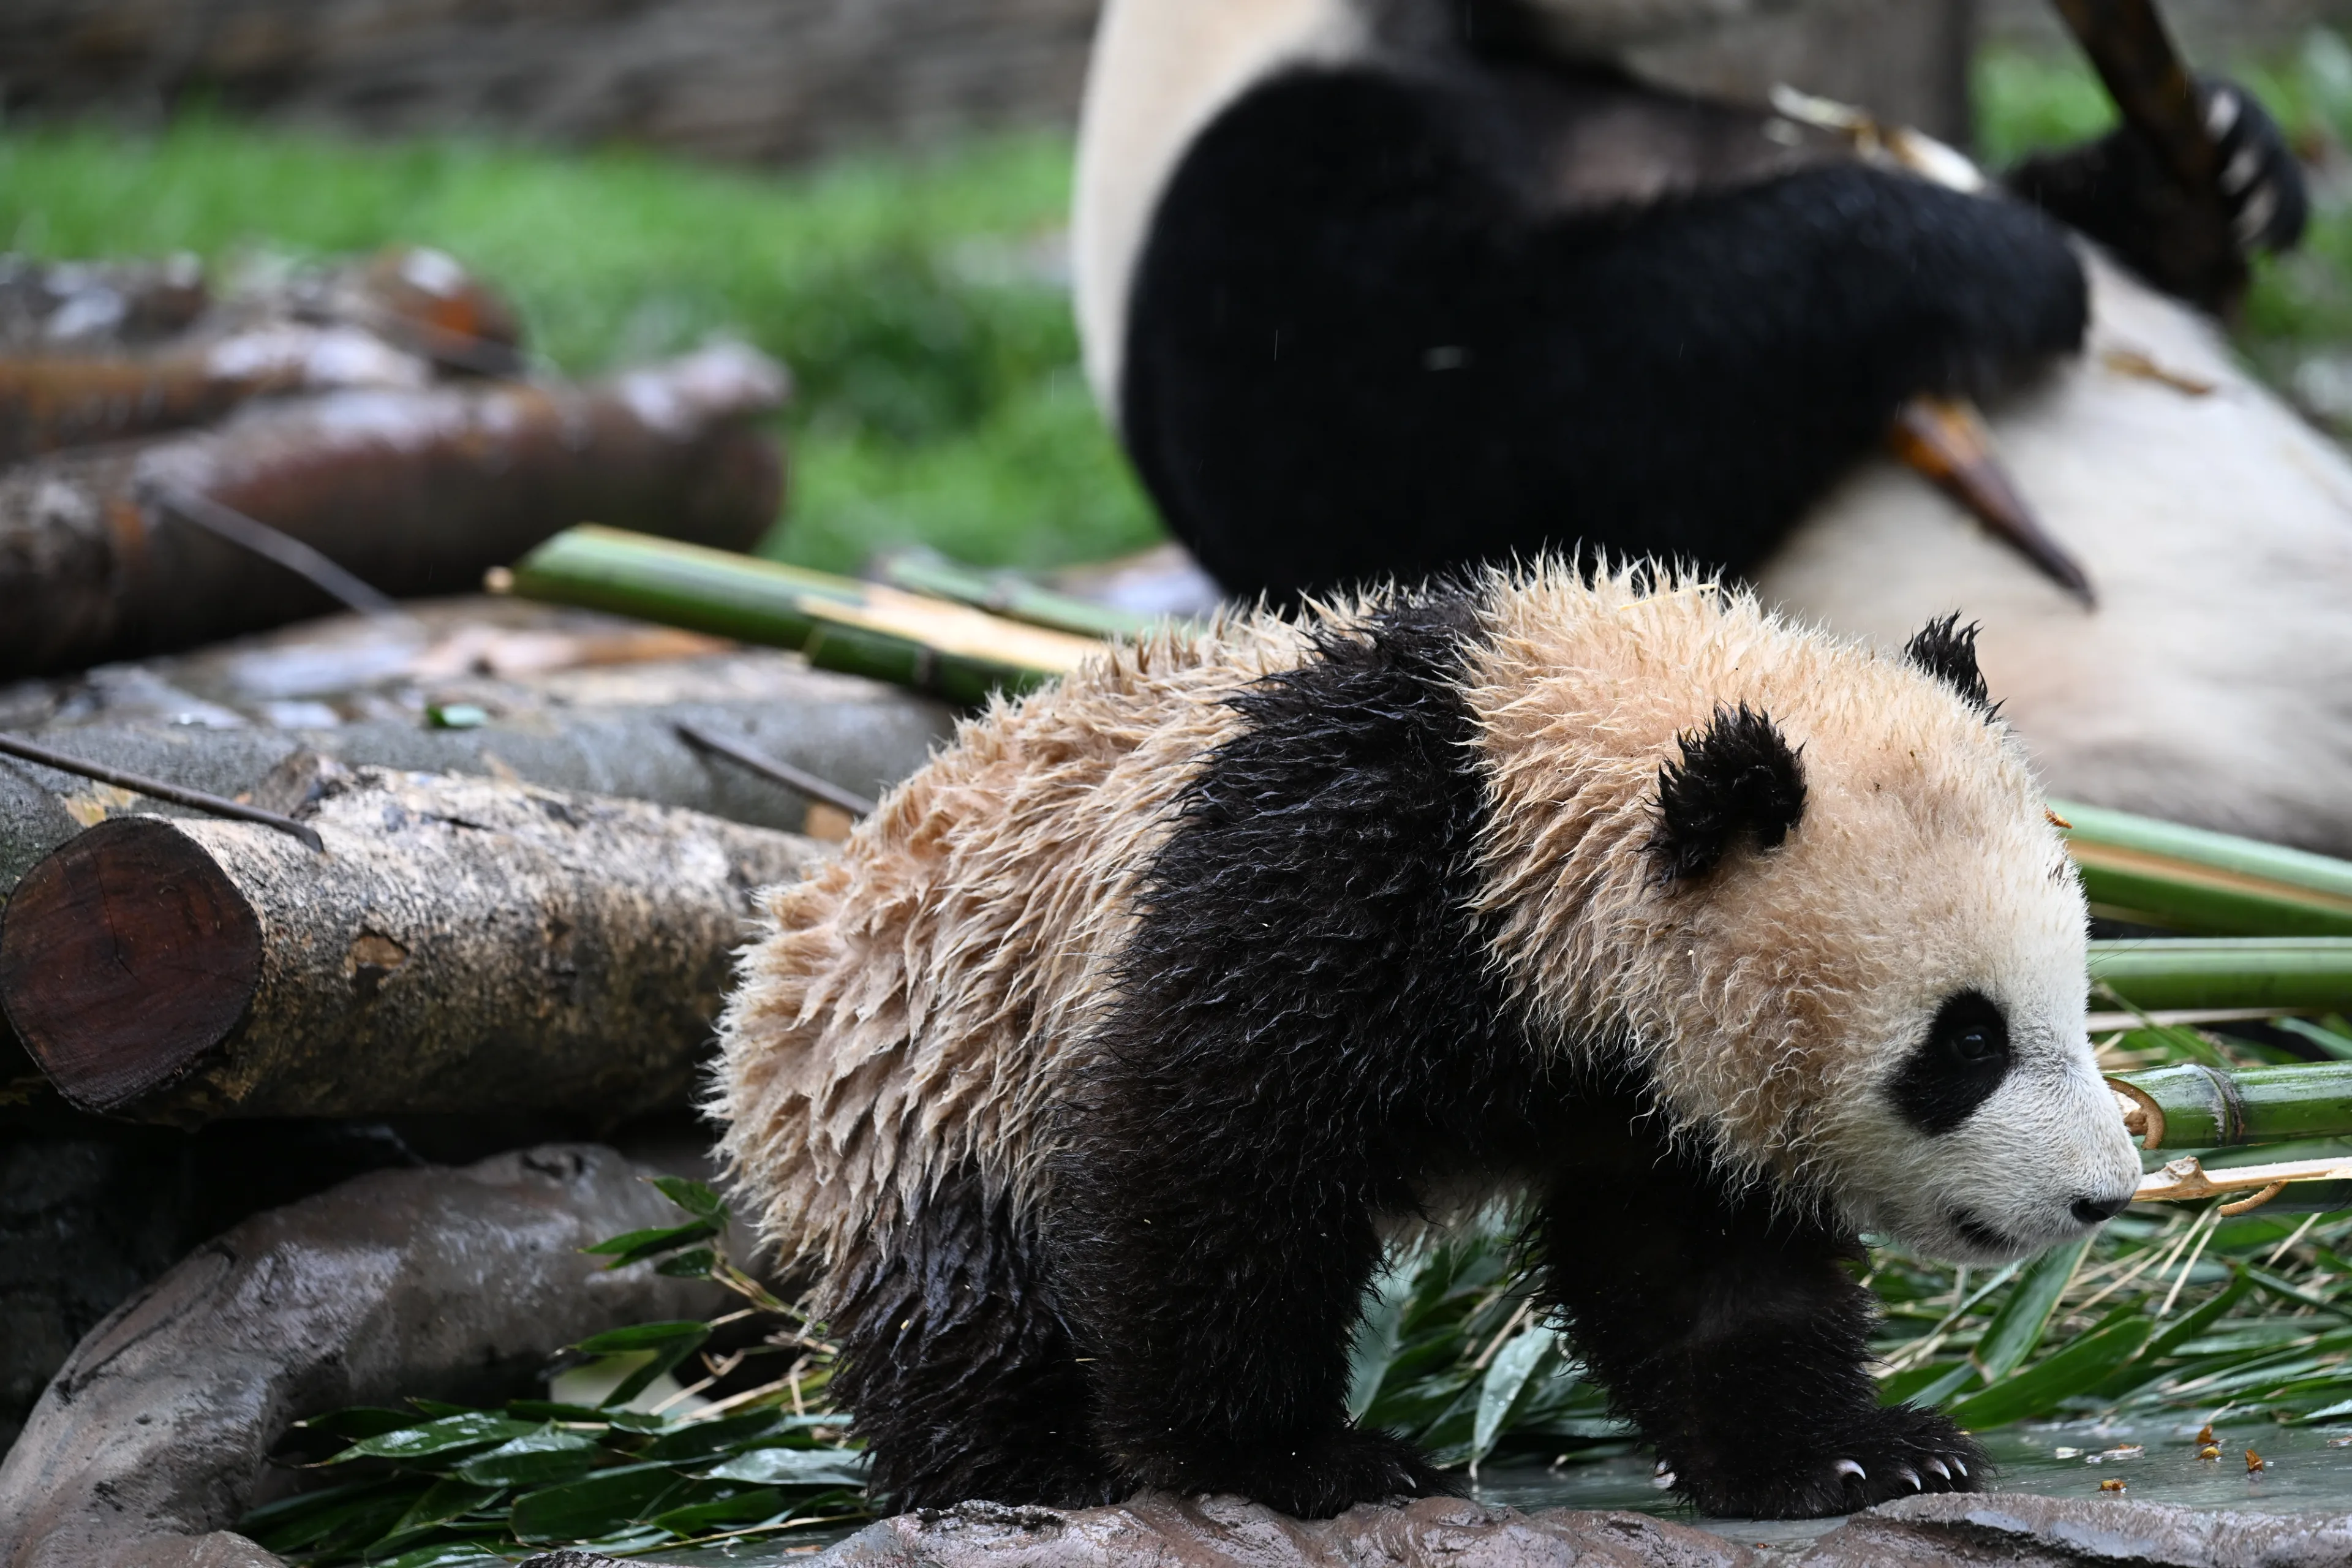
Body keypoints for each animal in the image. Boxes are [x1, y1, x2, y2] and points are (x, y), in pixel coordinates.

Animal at [713, 563, 2144, 1522]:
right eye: (1965, 1044)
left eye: (2074, 997)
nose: (2103, 1195)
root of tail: (805, 915)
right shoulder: (1323, 879)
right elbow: (1210, 1163)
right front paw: (1289, 1459)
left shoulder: (1643, 1069)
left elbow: (1699, 1265)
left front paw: (1859, 1452)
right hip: (930, 1070)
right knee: (963, 1293)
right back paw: (1027, 1468)